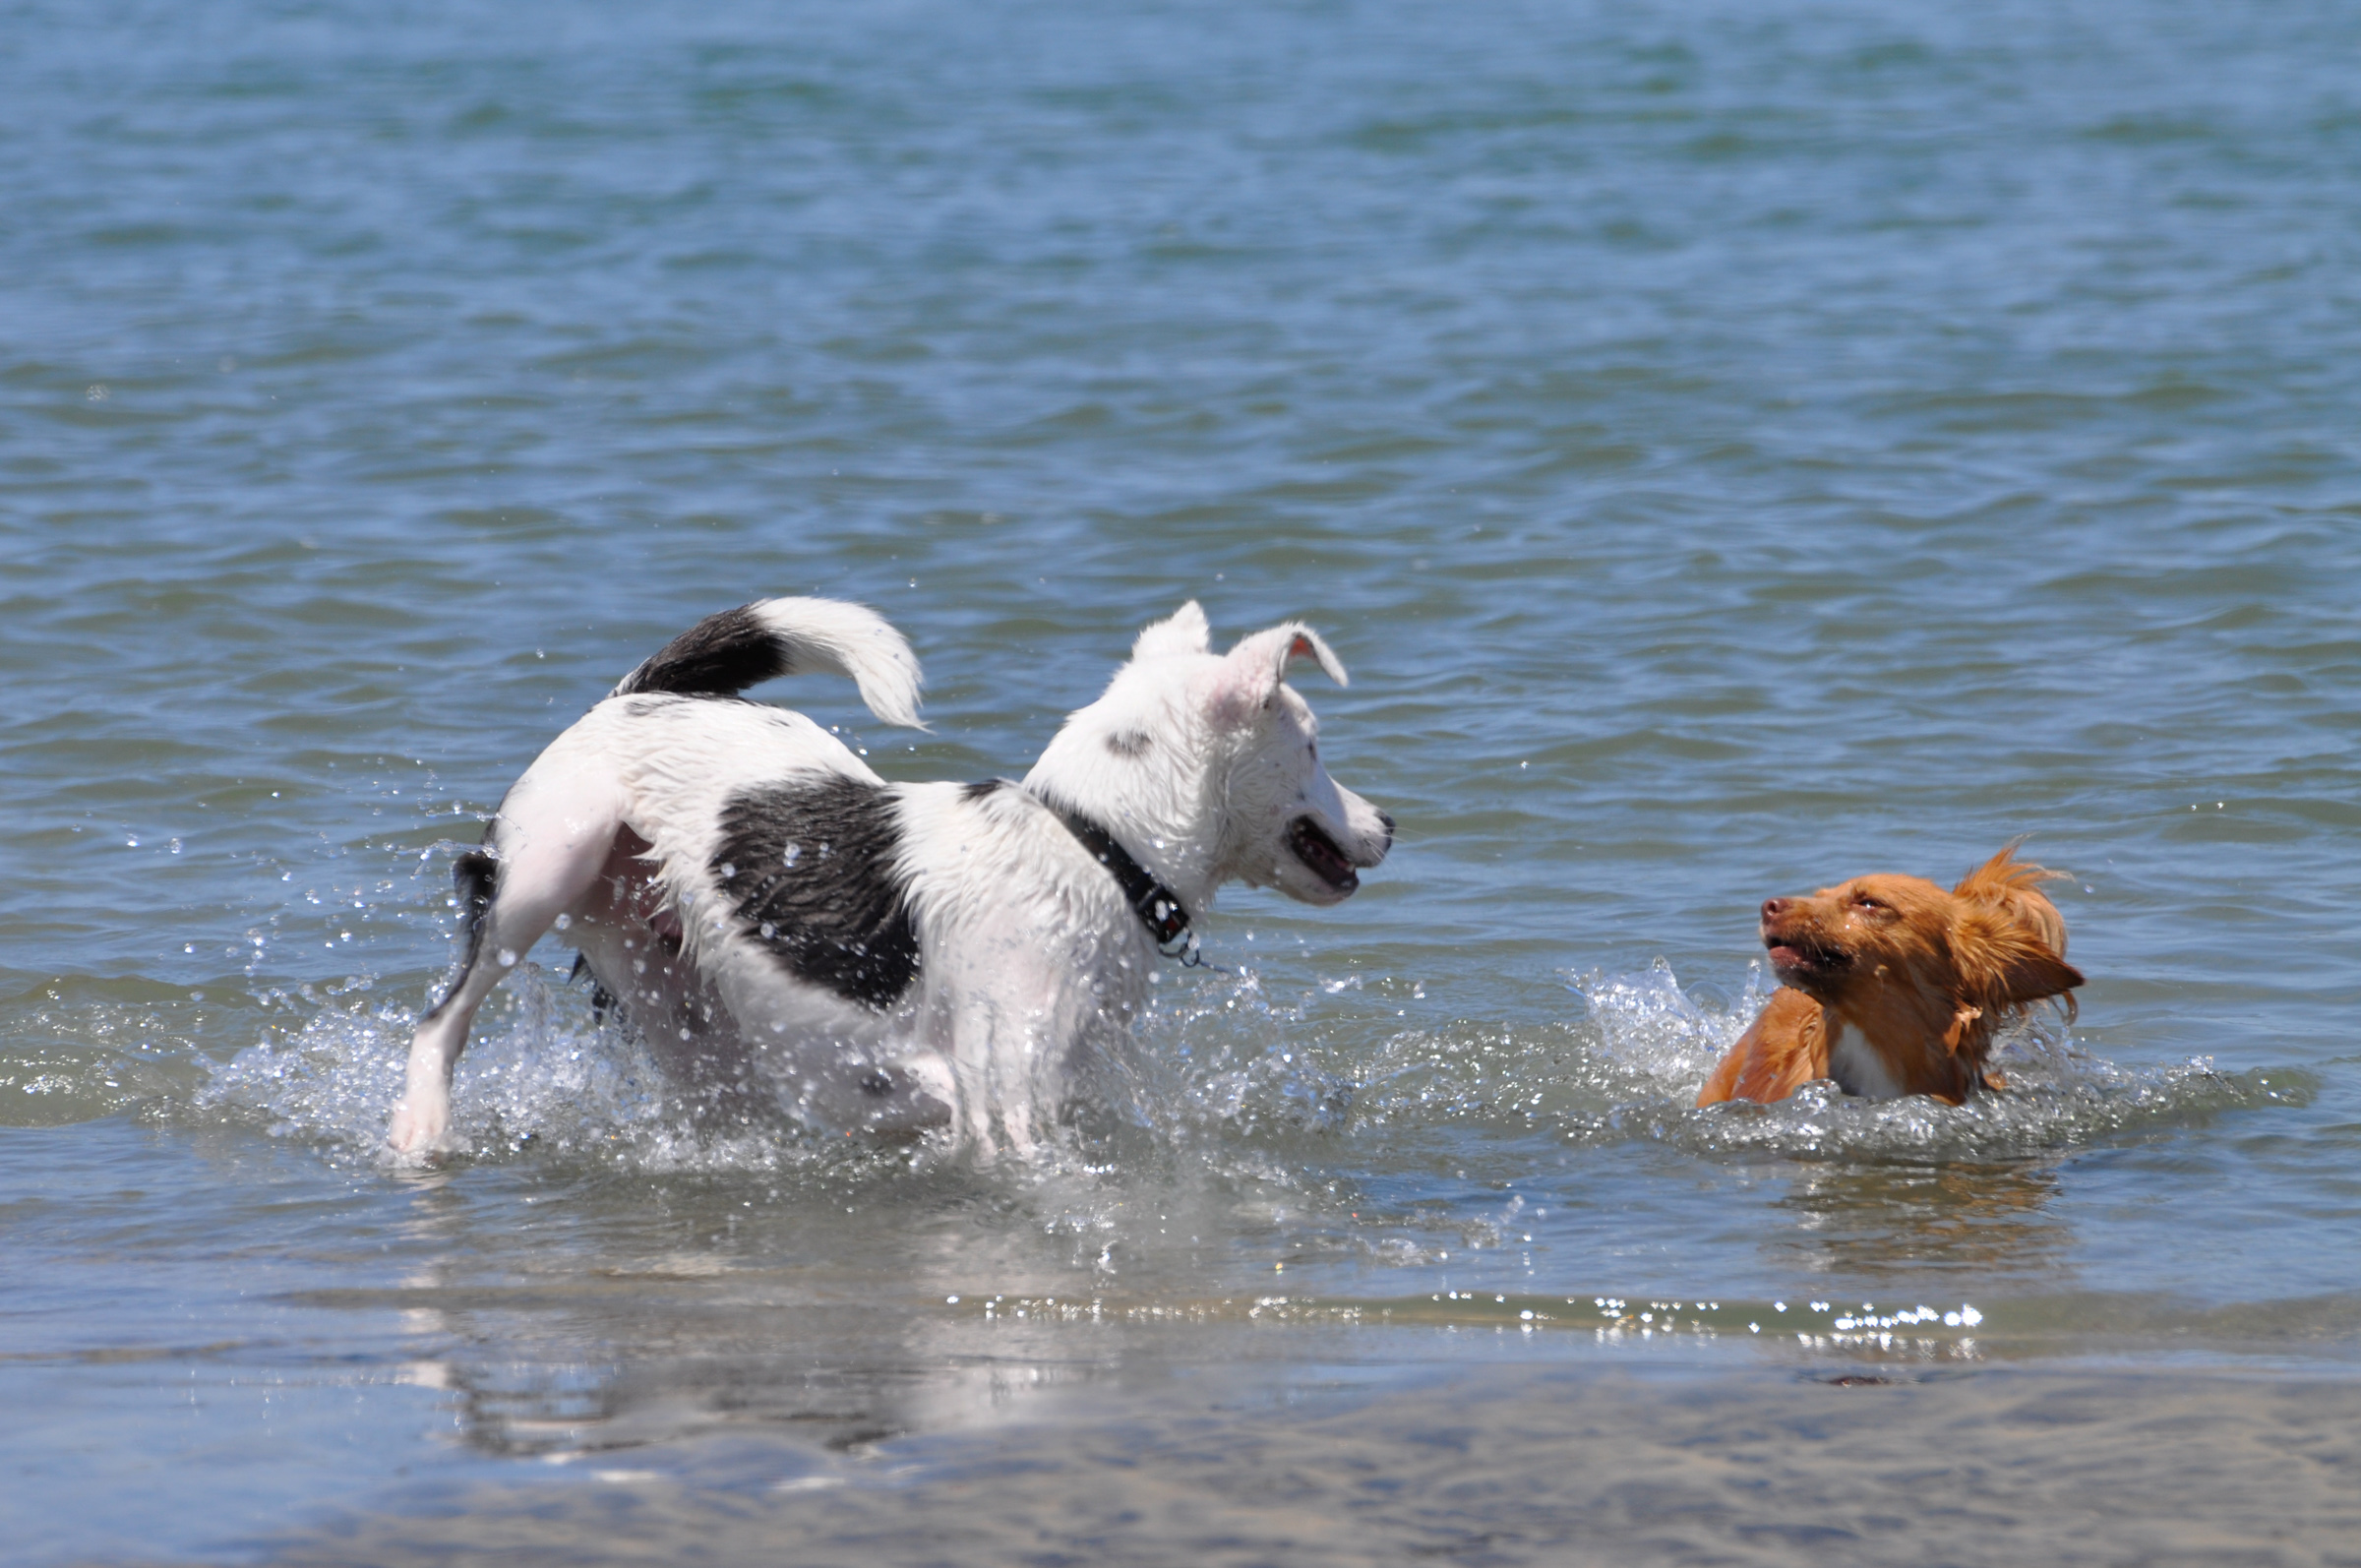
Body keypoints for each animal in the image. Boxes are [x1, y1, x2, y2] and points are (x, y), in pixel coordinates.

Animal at [382, 599, 1378, 1162]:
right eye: (1314, 746)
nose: (1389, 826)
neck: (1087, 841)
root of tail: (639, 692)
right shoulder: (1002, 1087)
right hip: (548, 863)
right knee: (443, 1018)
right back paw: (421, 1126)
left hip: (675, 995)